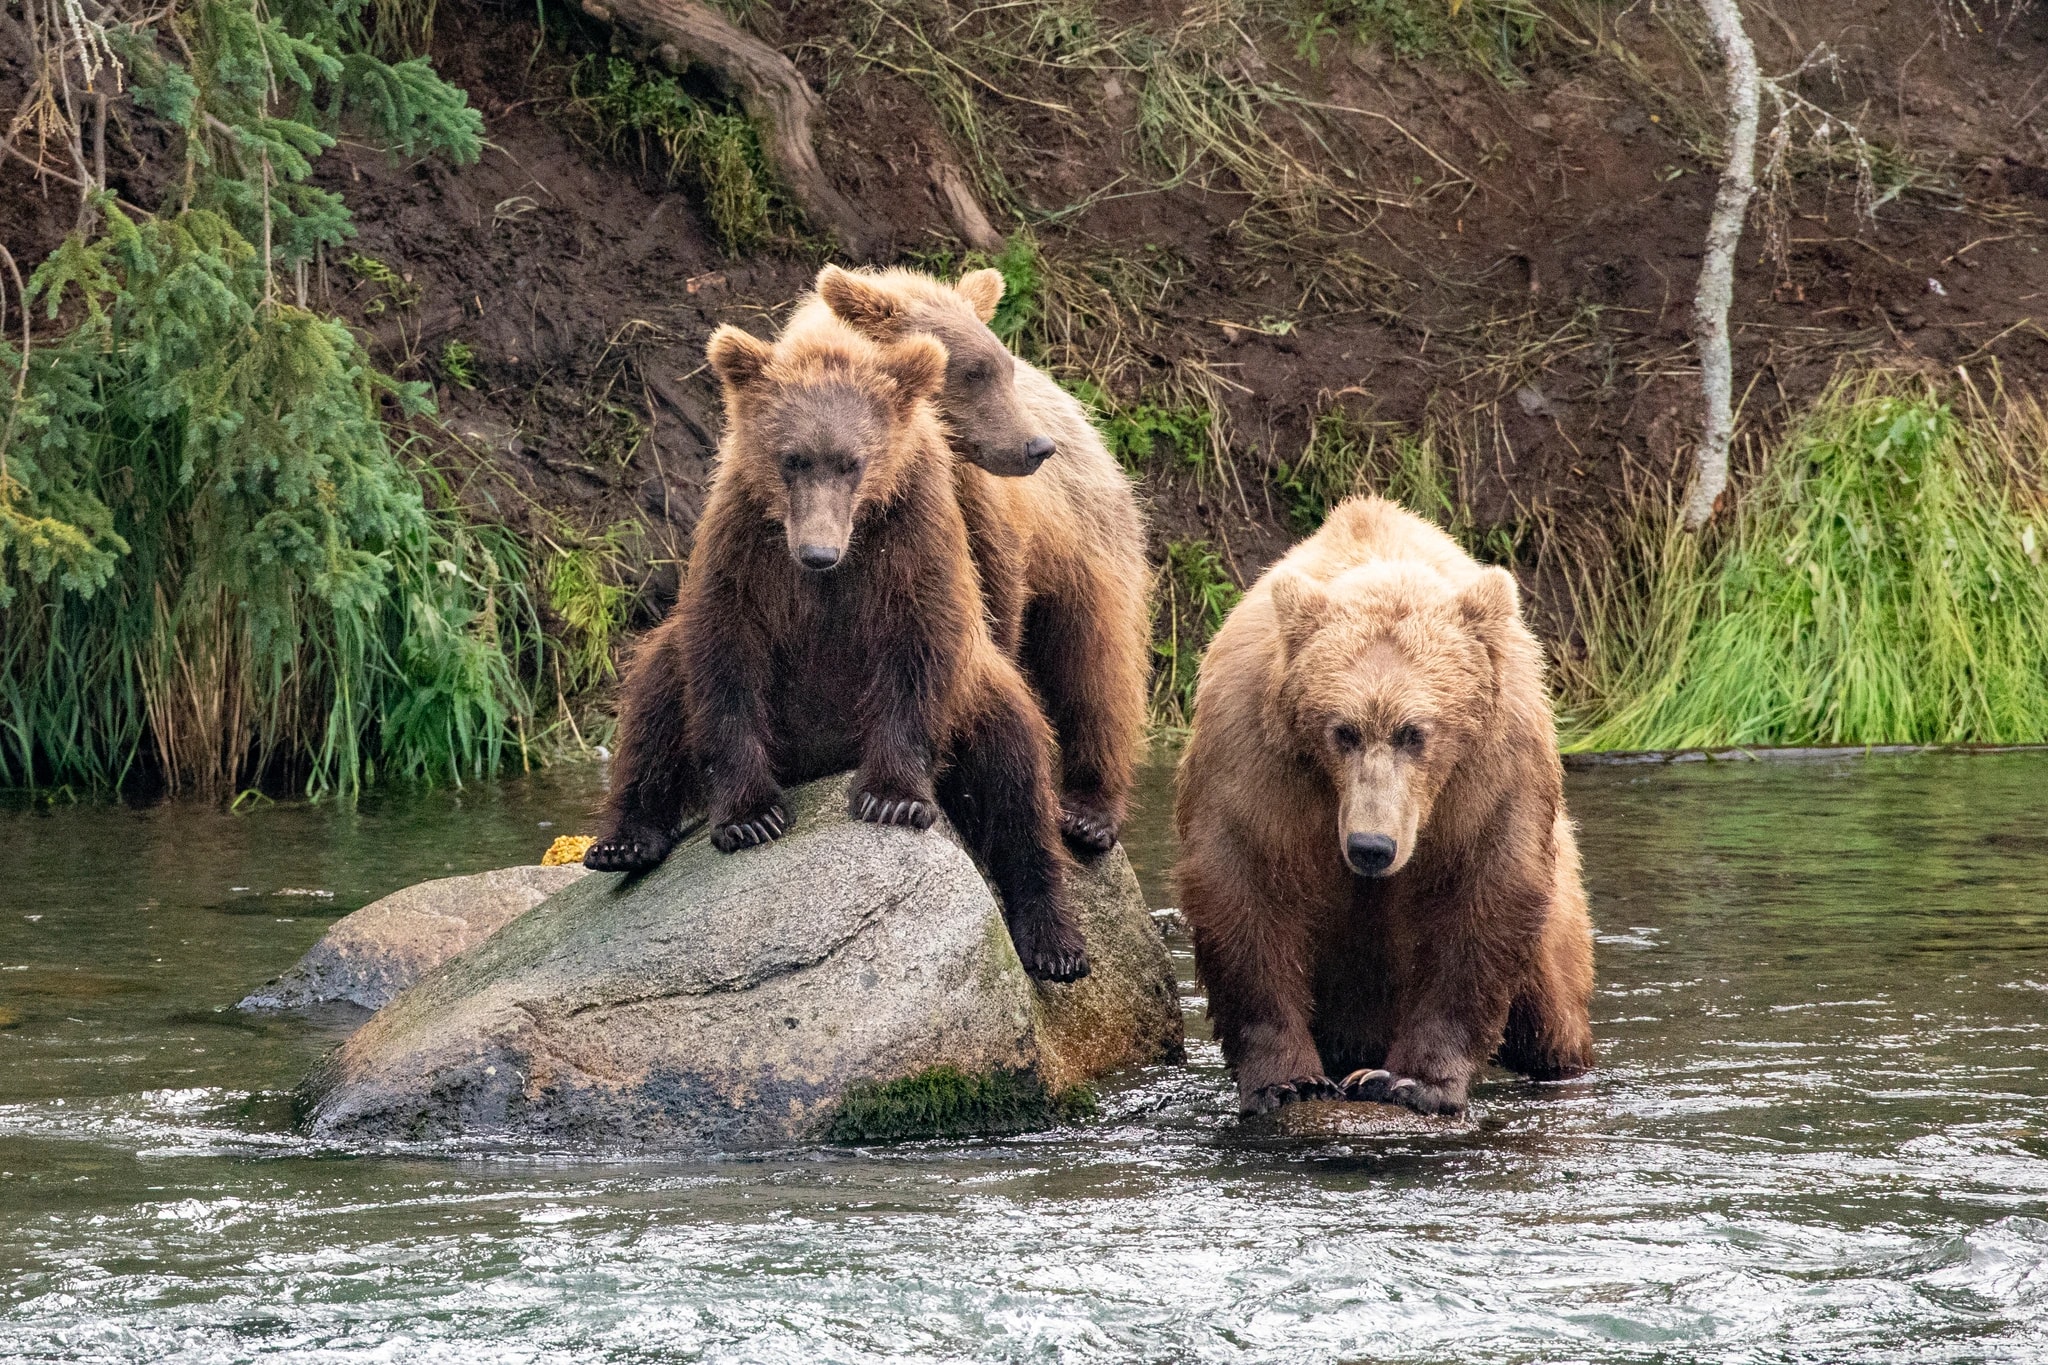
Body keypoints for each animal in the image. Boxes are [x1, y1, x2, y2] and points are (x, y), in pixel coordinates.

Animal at [585, 315, 1089, 983]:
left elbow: (919, 649)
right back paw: (624, 839)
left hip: (982, 690)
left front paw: (891, 800)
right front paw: (751, 817)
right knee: (657, 693)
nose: (818, 553)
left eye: (852, 463)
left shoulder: (913, 535)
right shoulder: (744, 545)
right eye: (792, 459)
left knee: (1017, 775)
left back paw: (1055, 941)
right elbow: (725, 658)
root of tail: (821, 764)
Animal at [796, 264, 1151, 855]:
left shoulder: (980, 512)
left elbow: (990, 605)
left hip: (1089, 541)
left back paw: (1090, 811)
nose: (1037, 446)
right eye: (972, 371)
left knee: (1097, 663)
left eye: (1001, 365)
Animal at [1173, 495, 1594, 1116]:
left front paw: (1410, 1081)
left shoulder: (1491, 773)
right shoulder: (1256, 758)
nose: (1371, 846)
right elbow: (1244, 888)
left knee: (1552, 1010)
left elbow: (1483, 898)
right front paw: (1288, 1081)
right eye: (1343, 731)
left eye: (1414, 733)